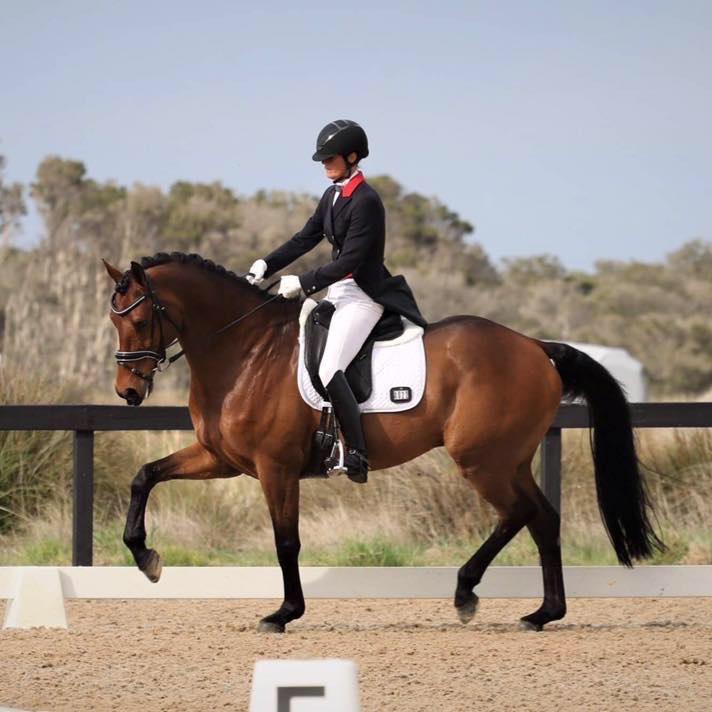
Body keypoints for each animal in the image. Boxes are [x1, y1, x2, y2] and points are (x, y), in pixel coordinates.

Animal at [104, 253, 660, 632]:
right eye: (114, 319)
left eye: (139, 319)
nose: (128, 392)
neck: (247, 352)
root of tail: (535, 348)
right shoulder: (221, 458)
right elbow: (144, 475)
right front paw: (145, 557)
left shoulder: (274, 467)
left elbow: (286, 541)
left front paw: (284, 613)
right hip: (510, 459)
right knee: (542, 518)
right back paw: (543, 613)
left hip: (483, 461)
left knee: (518, 514)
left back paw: (467, 592)